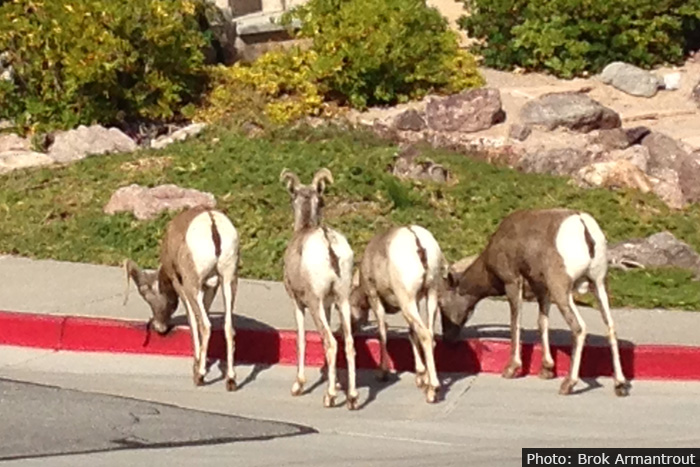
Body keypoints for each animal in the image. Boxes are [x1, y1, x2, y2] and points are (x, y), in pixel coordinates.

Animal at [124, 206, 240, 390]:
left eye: (149, 300)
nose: (159, 328)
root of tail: (212, 224)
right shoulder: (211, 287)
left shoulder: (181, 284)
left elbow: (193, 320)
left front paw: (197, 366)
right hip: (229, 280)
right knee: (228, 327)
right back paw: (231, 380)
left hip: (193, 285)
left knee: (206, 325)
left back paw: (199, 377)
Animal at [280, 168, 359, 410]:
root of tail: (329, 244)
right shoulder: (329, 304)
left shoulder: (298, 303)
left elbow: (302, 340)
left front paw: (298, 386)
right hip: (343, 299)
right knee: (348, 343)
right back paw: (352, 398)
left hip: (315, 303)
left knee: (331, 342)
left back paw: (330, 397)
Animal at [350, 225, 447, 403]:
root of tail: (417, 240)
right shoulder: (415, 301)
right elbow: (411, 333)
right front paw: (420, 376)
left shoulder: (375, 298)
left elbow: (382, 332)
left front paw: (382, 373)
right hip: (431, 294)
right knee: (429, 334)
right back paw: (429, 383)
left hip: (406, 299)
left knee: (425, 335)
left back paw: (433, 390)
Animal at [440, 208, 629, 397]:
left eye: (441, 304)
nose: (448, 338)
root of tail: (582, 224)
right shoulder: (543, 291)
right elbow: (542, 323)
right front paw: (547, 370)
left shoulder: (513, 282)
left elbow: (515, 322)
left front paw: (511, 369)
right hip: (598, 285)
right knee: (610, 327)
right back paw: (620, 385)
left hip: (561, 289)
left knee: (579, 328)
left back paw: (568, 384)